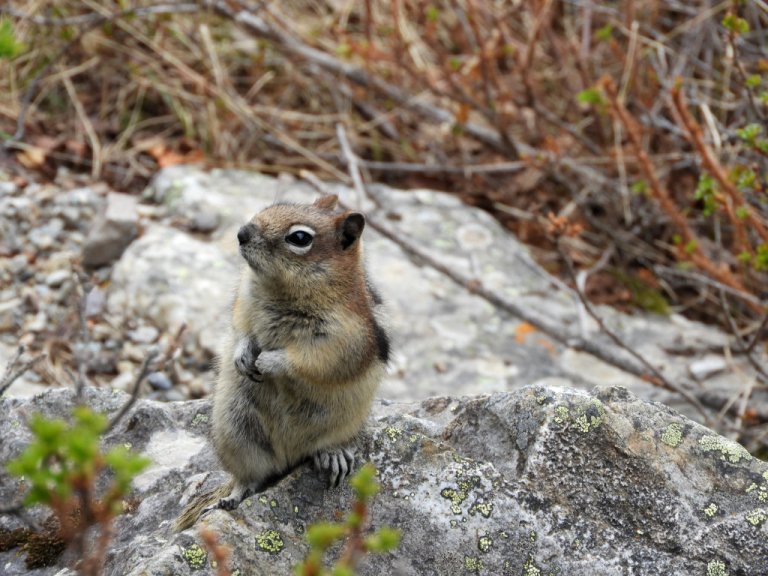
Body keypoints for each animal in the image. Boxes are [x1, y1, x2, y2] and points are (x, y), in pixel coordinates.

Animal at [175, 194, 389, 531]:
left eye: (299, 238)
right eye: (268, 207)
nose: (242, 233)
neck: (282, 290)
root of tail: (288, 456)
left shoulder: (343, 339)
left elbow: (310, 362)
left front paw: (270, 360)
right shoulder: (243, 303)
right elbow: (240, 328)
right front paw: (243, 355)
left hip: (343, 423)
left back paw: (332, 455)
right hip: (236, 432)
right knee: (250, 477)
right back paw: (232, 496)